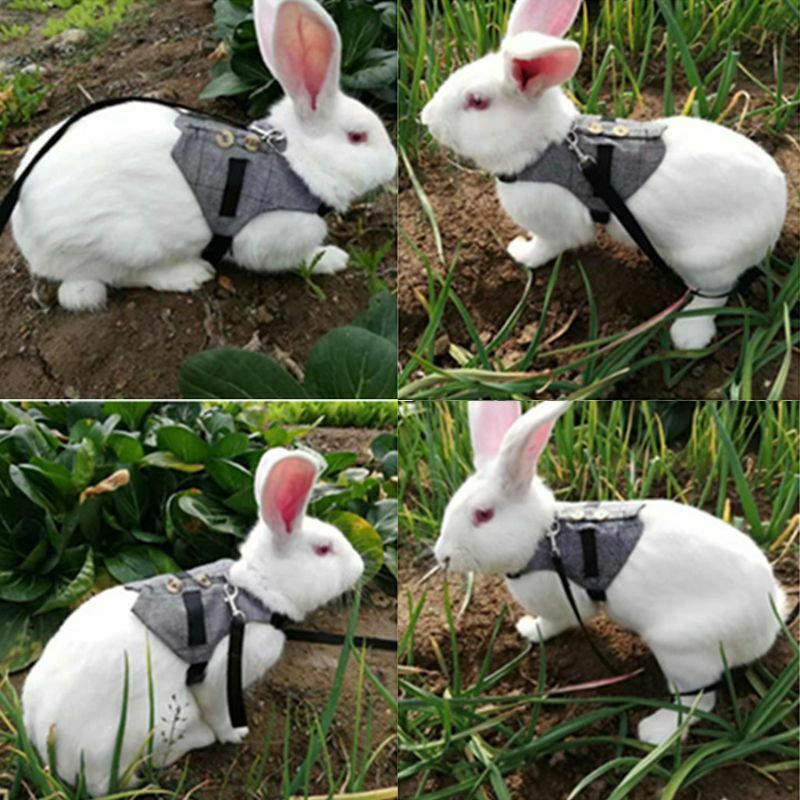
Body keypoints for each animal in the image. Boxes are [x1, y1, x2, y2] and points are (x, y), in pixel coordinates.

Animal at [10, 0, 396, 312]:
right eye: (357, 137)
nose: (393, 165)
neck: (294, 163)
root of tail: (23, 228)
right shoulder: (267, 238)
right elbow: (294, 259)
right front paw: (334, 258)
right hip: (122, 243)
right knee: (122, 276)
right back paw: (190, 275)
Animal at [22, 448, 365, 796]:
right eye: (323, 549)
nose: (361, 567)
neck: (254, 593)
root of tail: (47, 744)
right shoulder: (222, 677)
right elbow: (221, 715)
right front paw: (235, 735)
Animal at [420, 0, 787, 350]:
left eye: (477, 101)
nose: (426, 119)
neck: (545, 147)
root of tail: (778, 209)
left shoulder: (556, 226)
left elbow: (547, 246)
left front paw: (521, 254)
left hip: (706, 262)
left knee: (713, 295)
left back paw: (688, 336)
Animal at [434, 400, 788, 745]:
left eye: (483, 515)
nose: (442, 556)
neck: (542, 537)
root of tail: (768, 622)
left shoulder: (563, 603)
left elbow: (554, 623)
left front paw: (530, 630)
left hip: (682, 651)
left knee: (697, 701)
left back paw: (654, 732)